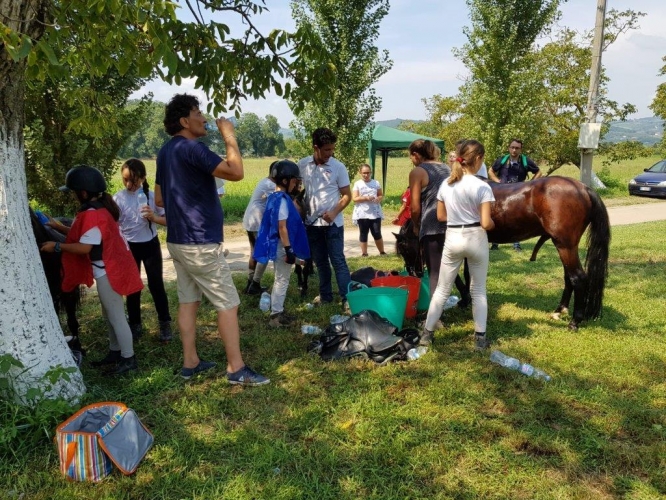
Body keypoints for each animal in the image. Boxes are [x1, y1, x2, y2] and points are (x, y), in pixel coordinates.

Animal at [394, 177, 608, 332]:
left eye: (404, 249)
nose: (413, 273)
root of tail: (583, 188)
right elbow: (467, 274)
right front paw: (466, 299)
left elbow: (457, 277)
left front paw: (465, 299)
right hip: (565, 247)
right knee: (568, 277)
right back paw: (559, 310)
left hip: (565, 246)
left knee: (578, 278)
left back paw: (575, 321)